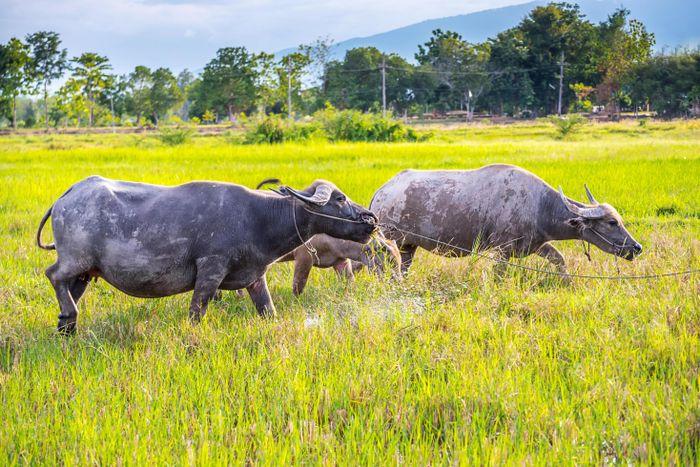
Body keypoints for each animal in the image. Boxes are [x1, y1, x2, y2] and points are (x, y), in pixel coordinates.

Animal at [37, 176, 378, 332]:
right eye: (339, 198)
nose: (370, 218)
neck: (259, 218)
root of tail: (67, 196)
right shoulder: (211, 269)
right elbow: (197, 311)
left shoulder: (255, 277)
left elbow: (268, 310)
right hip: (75, 260)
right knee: (53, 275)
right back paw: (70, 316)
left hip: (85, 271)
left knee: (70, 289)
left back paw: (66, 325)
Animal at [370, 165, 644, 276]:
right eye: (612, 223)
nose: (636, 247)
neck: (540, 206)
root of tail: (382, 192)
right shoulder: (502, 251)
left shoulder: (536, 245)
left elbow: (560, 260)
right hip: (389, 243)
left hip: (408, 246)